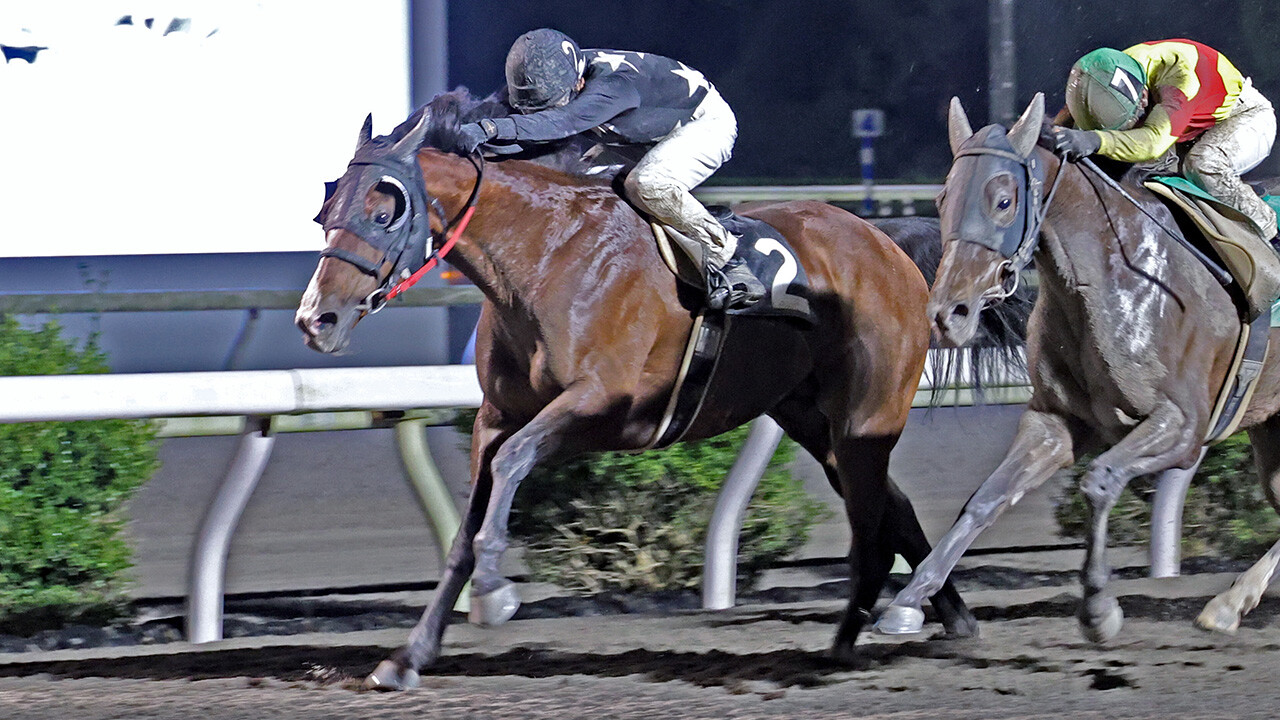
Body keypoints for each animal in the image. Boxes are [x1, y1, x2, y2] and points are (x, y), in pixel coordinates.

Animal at [293, 88, 1018, 681]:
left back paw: (853, 637)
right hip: (813, 419)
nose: (315, 319)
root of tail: (883, 238)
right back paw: (945, 617)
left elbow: (515, 464)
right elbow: (465, 530)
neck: (545, 257)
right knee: (890, 505)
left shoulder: (604, 404)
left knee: (871, 519)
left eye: (386, 210)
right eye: (326, 208)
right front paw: (409, 656)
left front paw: (498, 591)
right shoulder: (494, 415)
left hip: (868, 412)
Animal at [880, 90, 1280, 645]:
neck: (1120, 274)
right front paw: (910, 601)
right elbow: (984, 498)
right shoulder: (1056, 421)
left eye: (1003, 200)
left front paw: (1097, 608)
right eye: (942, 199)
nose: (946, 314)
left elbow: (1099, 482)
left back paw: (1226, 603)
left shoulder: (1182, 426)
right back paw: (1228, 605)